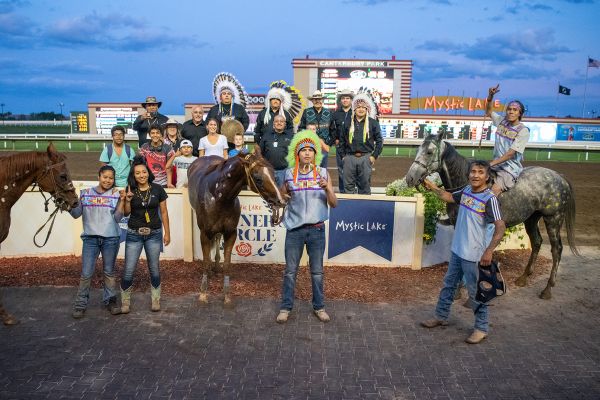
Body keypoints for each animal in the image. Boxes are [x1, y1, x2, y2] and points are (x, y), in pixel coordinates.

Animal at [189, 147, 290, 306]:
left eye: (273, 174)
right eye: (258, 178)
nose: (281, 200)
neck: (218, 196)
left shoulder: (231, 232)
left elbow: (227, 263)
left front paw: (226, 295)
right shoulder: (204, 233)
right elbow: (205, 261)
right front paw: (203, 293)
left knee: (217, 239)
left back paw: (216, 265)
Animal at [406, 132, 580, 300]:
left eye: (429, 152)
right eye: (417, 150)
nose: (410, 178)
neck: (467, 185)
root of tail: (559, 176)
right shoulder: (457, 224)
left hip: (553, 218)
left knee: (556, 249)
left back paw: (547, 289)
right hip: (531, 218)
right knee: (537, 242)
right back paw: (523, 277)